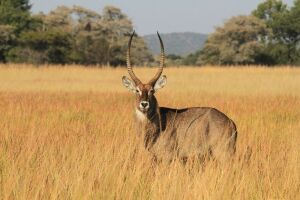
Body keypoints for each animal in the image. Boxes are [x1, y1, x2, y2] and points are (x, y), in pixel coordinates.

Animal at [121, 30, 237, 162]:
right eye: (137, 90)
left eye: (152, 91)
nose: (144, 104)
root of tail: (231, 123)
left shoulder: (167, 157)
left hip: (224, 154)